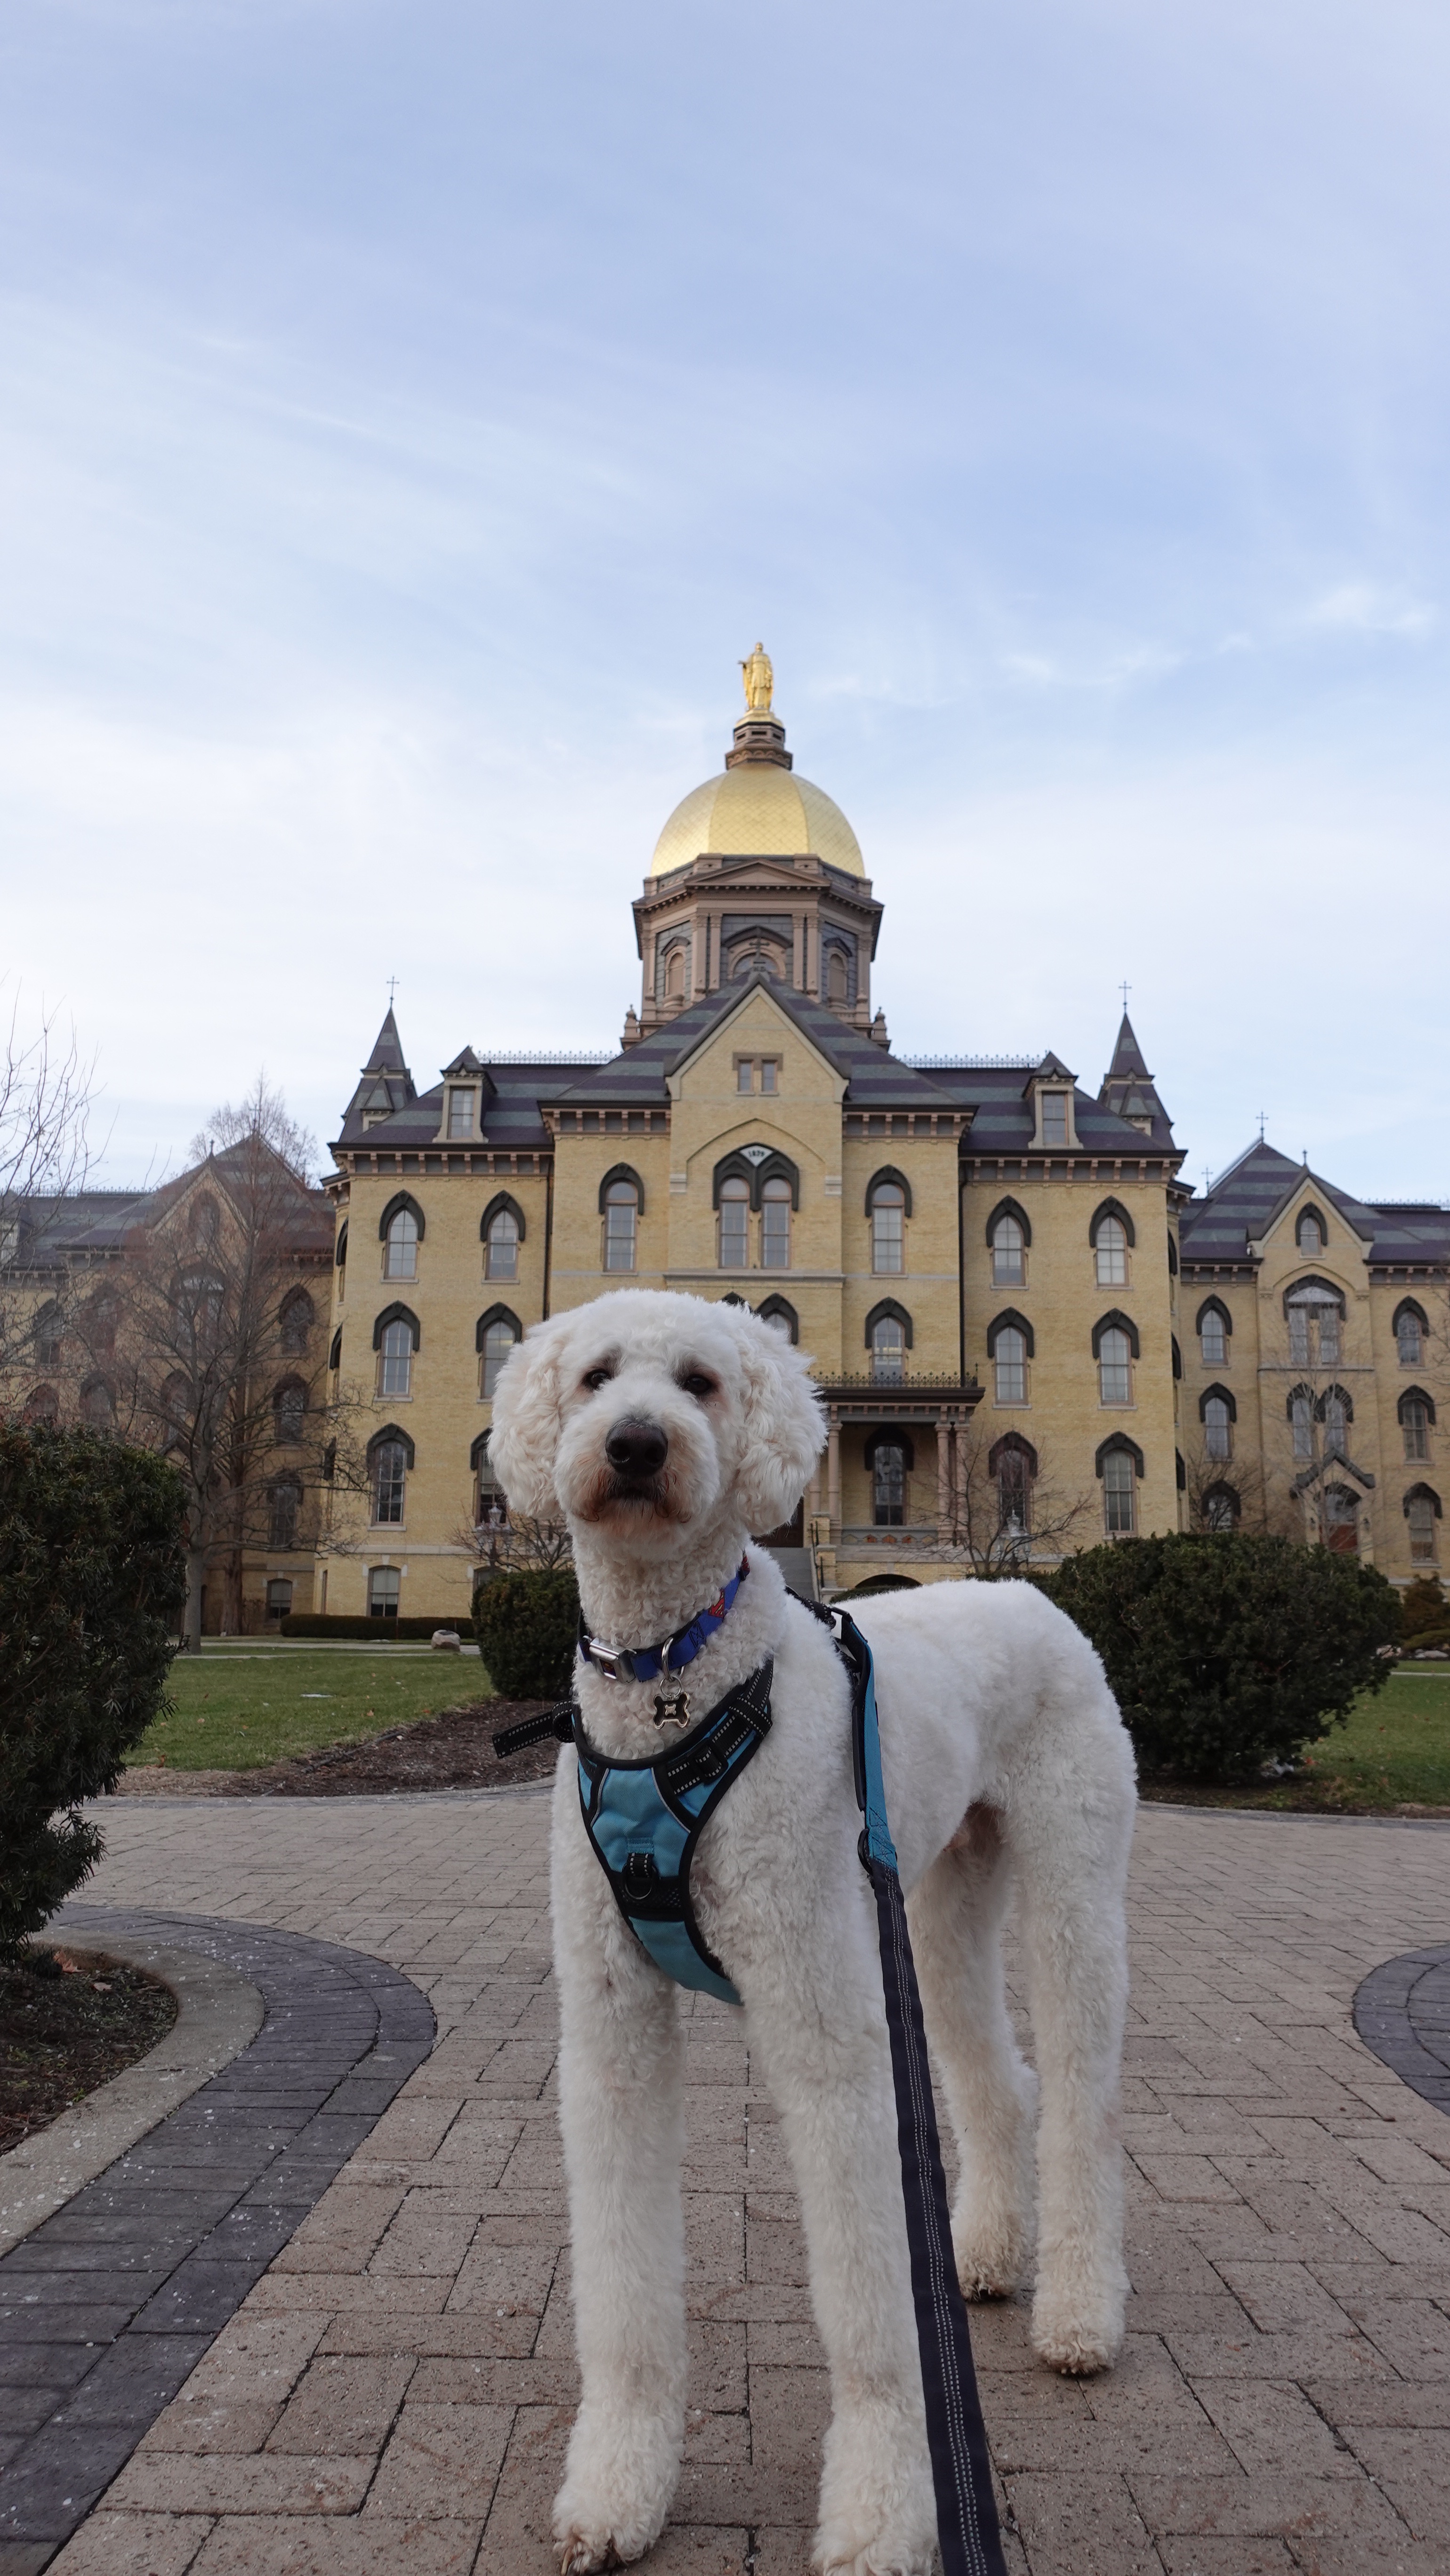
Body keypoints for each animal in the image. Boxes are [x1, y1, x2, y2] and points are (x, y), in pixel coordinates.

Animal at [494, 1298, 1138, 2576]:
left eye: (699, 1380)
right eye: (595, 1375)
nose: (636, 1443)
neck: (678, 1687)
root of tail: (1027, 1591)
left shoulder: (824, 2021)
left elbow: (871, 2303)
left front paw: (882, 2510)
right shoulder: (612, 2027)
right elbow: (624, 2286)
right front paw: (618, 2488)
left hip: (1073, 1880)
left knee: (1081, 2103)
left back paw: (1079, 2317)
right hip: (933, 1904)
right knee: (1000, 2084)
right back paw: (981, 2257)